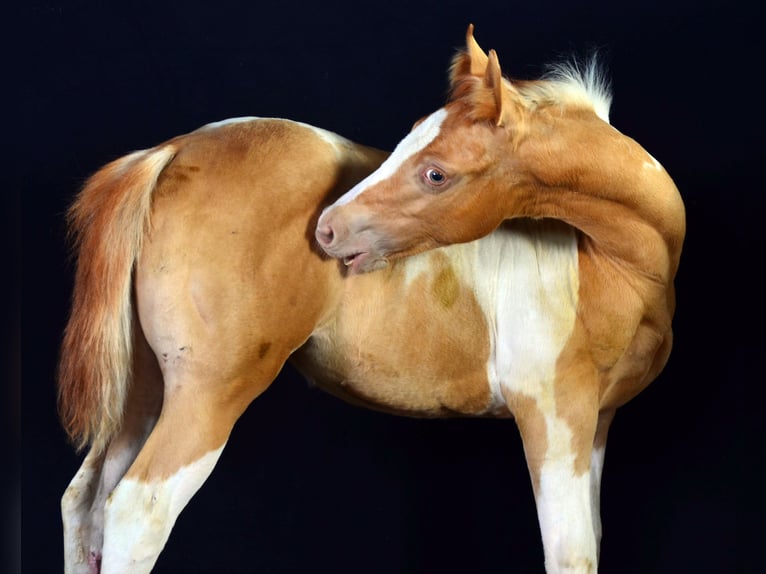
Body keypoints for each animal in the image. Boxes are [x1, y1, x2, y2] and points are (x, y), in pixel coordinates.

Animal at [316, 25, 686, 573]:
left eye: (436, 174)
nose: (327, 228)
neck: (612, 270)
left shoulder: (597, 421)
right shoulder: (552, 419)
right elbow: (571, 554)